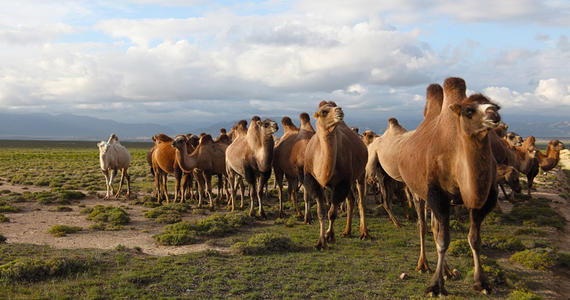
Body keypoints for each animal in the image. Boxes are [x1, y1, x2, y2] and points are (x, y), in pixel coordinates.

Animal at [302, 100, 368, 248]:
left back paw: (364, 234)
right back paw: (347, 232)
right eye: (323, 112)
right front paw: (320, 242)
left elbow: (332, 213)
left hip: (360, 175)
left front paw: (329, 236)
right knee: (351, 200)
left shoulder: (342, 182)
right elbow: (321, 212)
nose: (340, 110)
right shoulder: (313, 181)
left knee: (360, 201)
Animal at [374, 78, 500, 296]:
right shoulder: (437, 195)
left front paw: (482, 283)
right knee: (423, 225)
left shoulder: (482, 201)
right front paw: (435, 286)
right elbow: (443, 240)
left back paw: (448, 271)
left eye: (495, 105)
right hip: (416, 190)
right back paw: (423, 265)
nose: (494, 114)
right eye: (469, 110)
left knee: (434, 227)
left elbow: (474, 239)